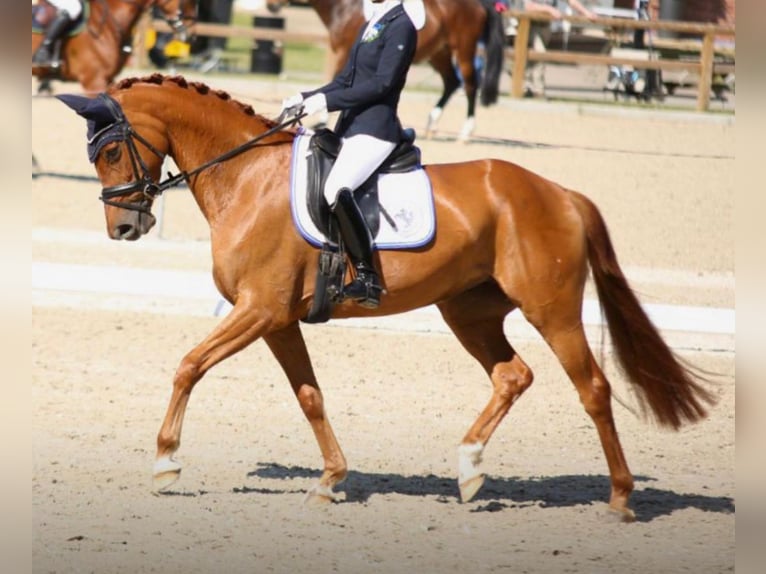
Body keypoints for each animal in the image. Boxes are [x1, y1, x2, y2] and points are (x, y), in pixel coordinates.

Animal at [60, 75, 720, 520]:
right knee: (513, 376)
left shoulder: (259, 310)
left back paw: (619, 499)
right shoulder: (277, 320)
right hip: (468, 311)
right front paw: (330, 480)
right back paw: (469, 470)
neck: (246, 177)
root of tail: (561, 193)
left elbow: (188, 365)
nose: (124, 229)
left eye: (111, 150)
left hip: (551, 310)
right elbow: (309, 397)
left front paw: (166, 462)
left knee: (593, 389)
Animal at [268, 0, 508, 141]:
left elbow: (337, 82)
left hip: (464, 48)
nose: (271, 6)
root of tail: (481, 4)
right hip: (439, 53)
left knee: (469, 84)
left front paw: (320, 118)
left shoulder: (343, 52)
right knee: (451, 82)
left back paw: (465, 132)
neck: (344, 7)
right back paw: (432, 124)